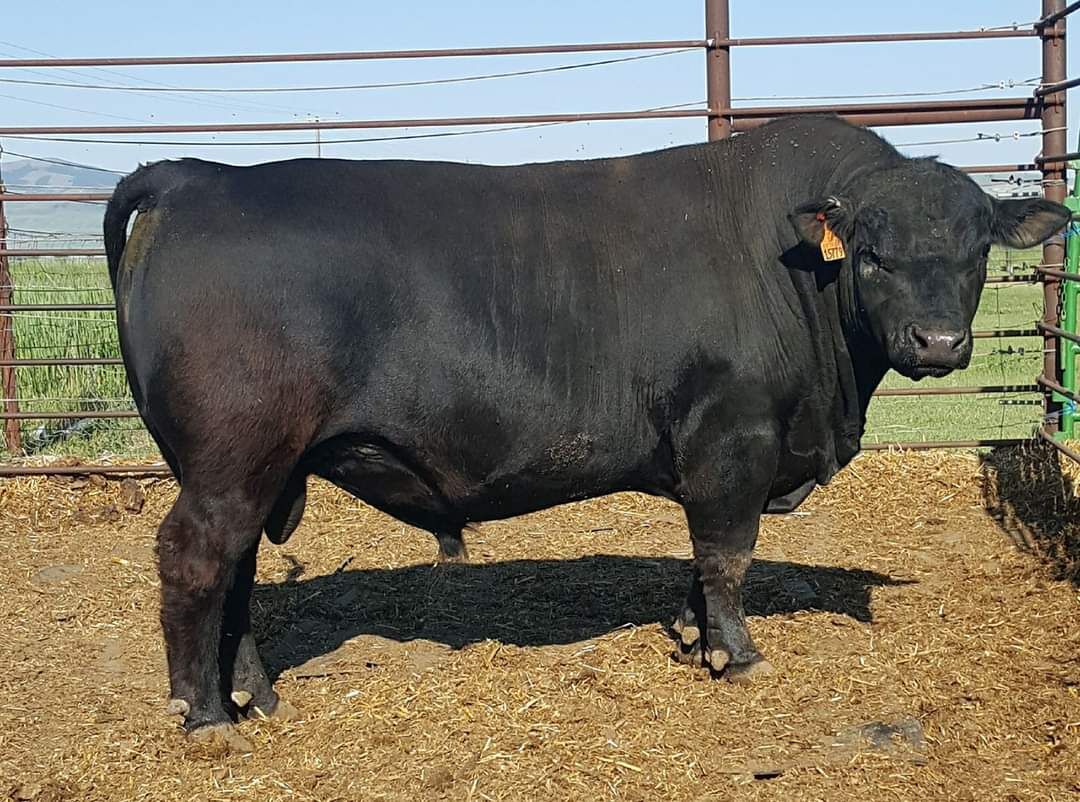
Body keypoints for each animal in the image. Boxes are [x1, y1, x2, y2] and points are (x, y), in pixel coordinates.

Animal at [104, 114, 1069, 750]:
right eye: (871, 253)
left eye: (979, 250)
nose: (938, 343)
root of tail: (200, 174)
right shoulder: (733, 440)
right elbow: (728, 554)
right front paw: (737, 655)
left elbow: (701, 563)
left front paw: (692, 634)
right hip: (233, 459)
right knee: (194, 561)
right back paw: (203, 717)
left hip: (254, 467)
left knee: (235, 574)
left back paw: (251, 696)